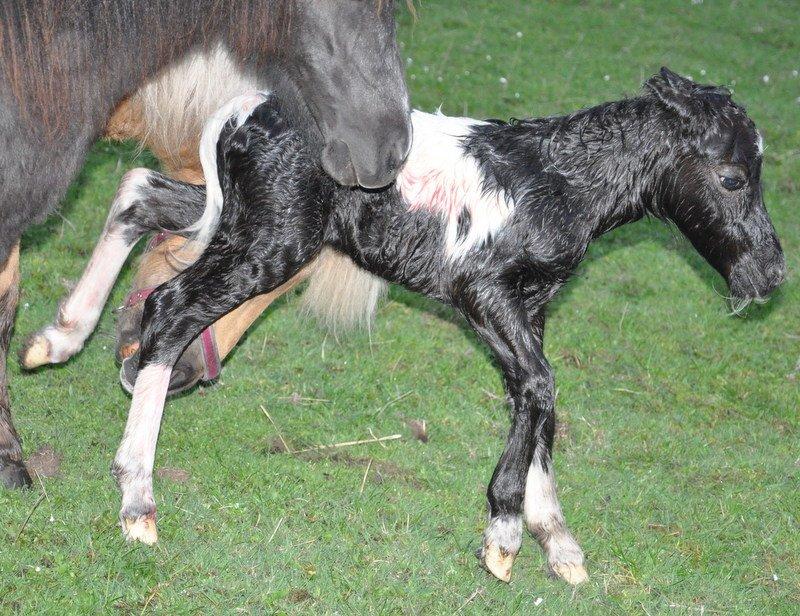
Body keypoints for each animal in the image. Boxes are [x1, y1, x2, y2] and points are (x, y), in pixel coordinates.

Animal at [42, 68, 780, 584]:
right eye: (733, 177)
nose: (770, 275)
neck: (558, 179)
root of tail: (247, 108)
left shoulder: (532, 307)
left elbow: (537, 397)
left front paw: (558, 543)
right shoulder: (481, 291)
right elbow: (540, 388)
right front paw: (505, 535)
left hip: (239, 221)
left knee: (140, 193)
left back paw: (59, 336)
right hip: (271, 241)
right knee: (170, 309)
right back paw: (137, 499)